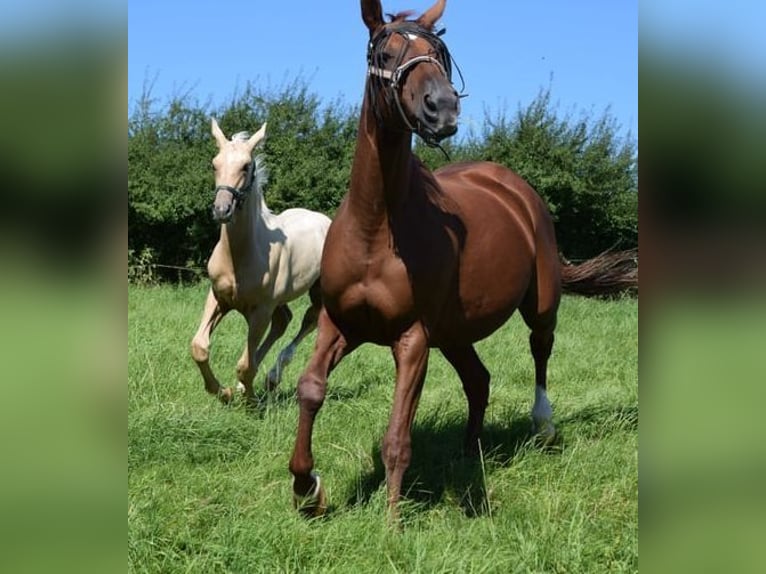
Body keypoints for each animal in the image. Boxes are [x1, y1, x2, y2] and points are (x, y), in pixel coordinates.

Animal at [191, 119, 330, 402]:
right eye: (214, 164)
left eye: (246, 166)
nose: (222, 210)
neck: (240, 257)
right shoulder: (218, 298)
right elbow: (199, 347)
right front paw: (223, 391)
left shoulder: (261, 310)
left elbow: (246, 365)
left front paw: (249, 400)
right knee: (283, 321)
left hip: (317, 290)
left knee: (309, 320)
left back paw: (272, 378)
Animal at [292, 1, 560, 520]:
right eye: (385, 52)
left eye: (439, 54)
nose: (444, 107)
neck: (377, 228)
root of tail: (514, 188)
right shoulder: (339, 323)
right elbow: (310, 389)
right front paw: (306, 488)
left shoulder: (413, 339)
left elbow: (397, 436)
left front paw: (391, 524)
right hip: (454, 333)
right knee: (478, 381)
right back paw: (470, 452)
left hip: (539, 305)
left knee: (540, 348)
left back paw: (543, 424)